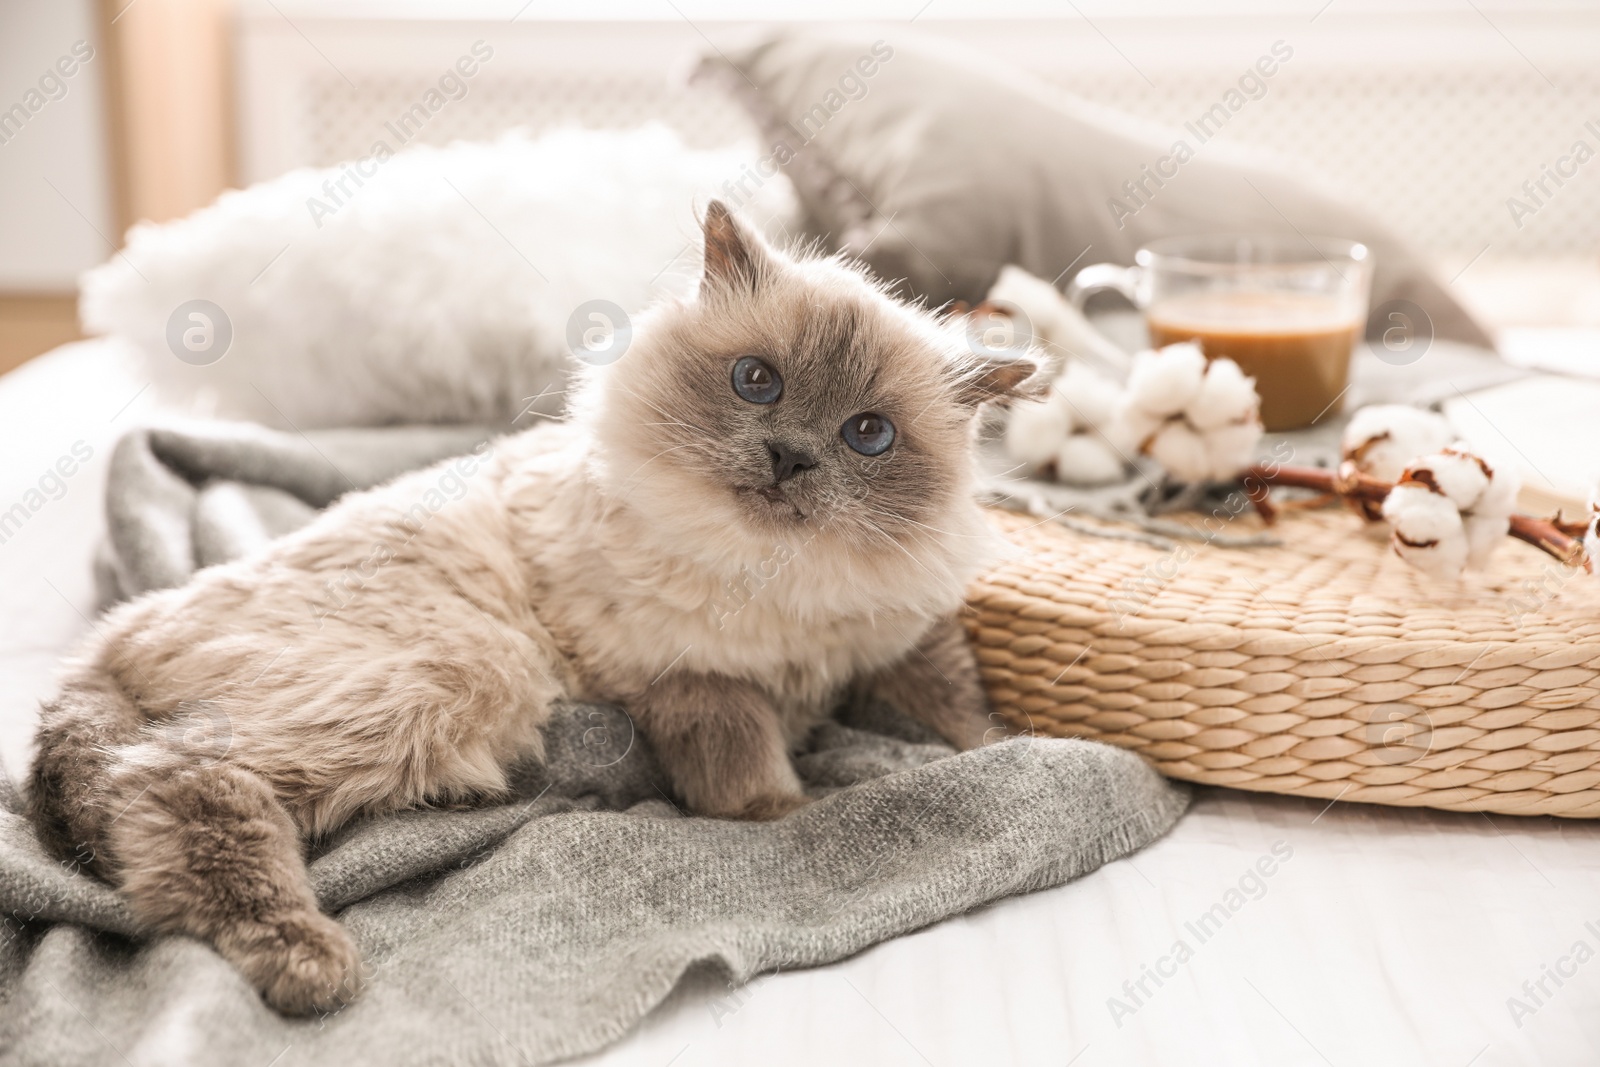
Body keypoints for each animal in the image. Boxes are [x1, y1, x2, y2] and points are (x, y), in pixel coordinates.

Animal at [31, 202, 1043, 1017]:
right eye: (757, 381)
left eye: (867, 435)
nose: (790, 458)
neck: (781, 584)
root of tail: (120, 626)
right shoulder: (695, 681)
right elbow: (753, 780)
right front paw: (796, 808)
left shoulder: (901, 640)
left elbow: (964, 714)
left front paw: (1008, 747)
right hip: (467, 671)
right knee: (177, 778)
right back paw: (312, 962)